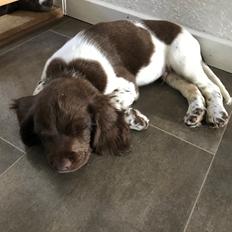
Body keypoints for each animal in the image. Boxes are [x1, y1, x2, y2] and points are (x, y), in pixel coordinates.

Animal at [13, 19, 232, 172]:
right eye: (43, 135)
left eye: (81, 128)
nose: (62, 165)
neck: (69, 70)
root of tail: (187, 32)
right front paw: (134, 118)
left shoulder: (128, 84)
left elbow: (110, 101)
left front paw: (130, 117)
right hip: (171, 74)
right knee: (192, 89)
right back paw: (196, 112)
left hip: (184, 62)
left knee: (210, 87)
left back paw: (216, 113)